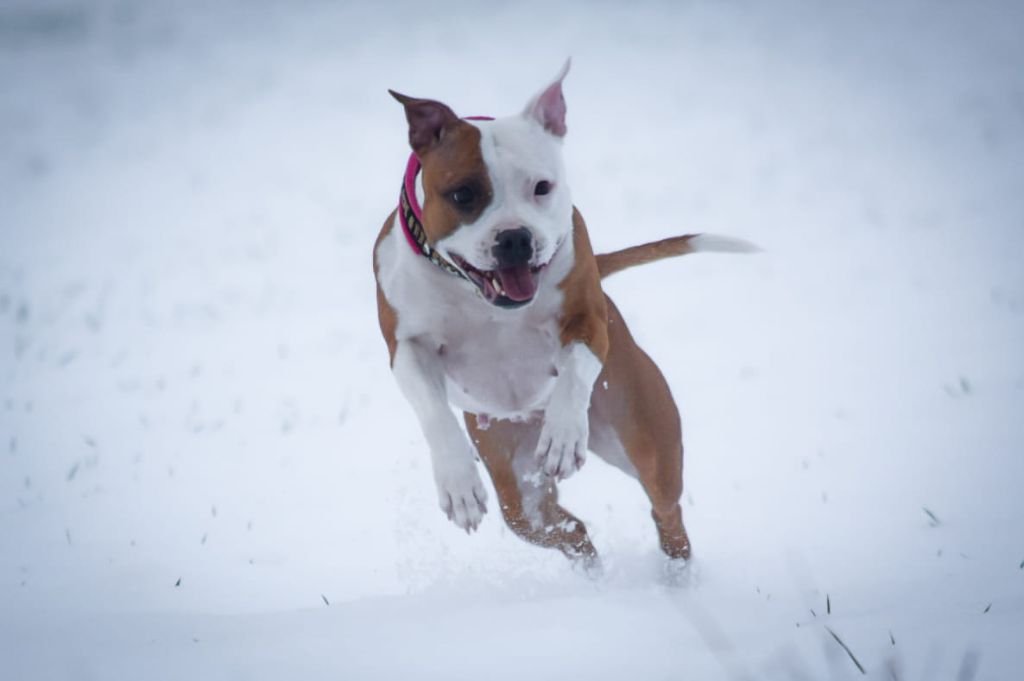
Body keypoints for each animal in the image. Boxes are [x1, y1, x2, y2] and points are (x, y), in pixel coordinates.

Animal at [372, 62, 749, 569]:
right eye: (464, 194)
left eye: (541, 187)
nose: (515, 237)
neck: (476, 295)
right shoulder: (408, 347)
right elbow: (433, 410)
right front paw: (459, 483)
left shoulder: (586, 320)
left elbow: (574, 369)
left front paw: (565, 437)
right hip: (518, 485)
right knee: (564, 527)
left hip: (643, 435)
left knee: (665, 508)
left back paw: (676, 572)